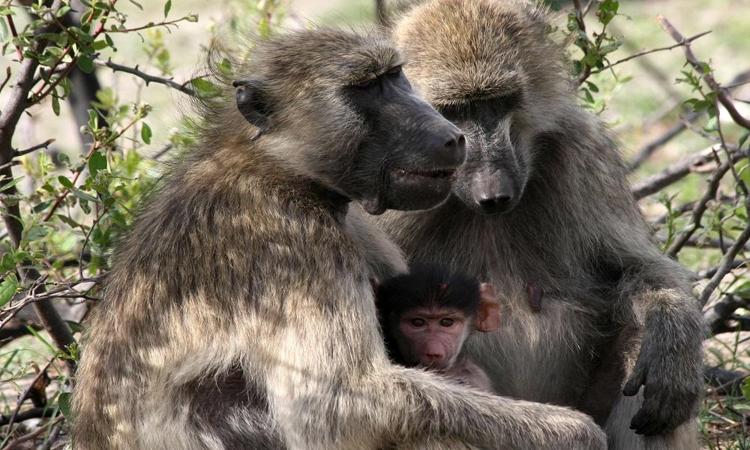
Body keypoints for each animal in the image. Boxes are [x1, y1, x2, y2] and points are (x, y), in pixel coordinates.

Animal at [70, 27, 608, 450]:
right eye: (366, 89)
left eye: (395, 77)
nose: (451, 137)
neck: (280, 169)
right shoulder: (289, 245)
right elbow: (341, 407)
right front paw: (574, 432)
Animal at [371, 1, 705, 450]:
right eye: (454, 110)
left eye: (500, 102)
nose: (494, 194)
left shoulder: (585, 154)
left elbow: (636, 267)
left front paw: (673, 339)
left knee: (637, 334)